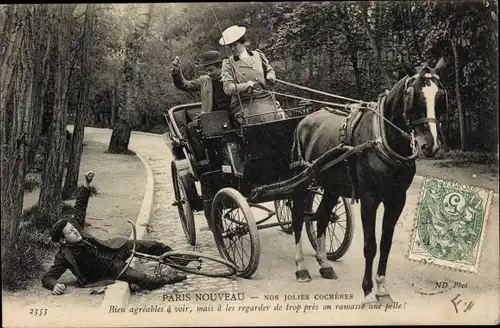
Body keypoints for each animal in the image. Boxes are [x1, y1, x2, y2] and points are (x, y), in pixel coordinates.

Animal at [290, 57, 450, 304]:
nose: (430, 145)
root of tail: (304, 120)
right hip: (303, 183)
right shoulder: (369, 200)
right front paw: (366, 290)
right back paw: (300, 267)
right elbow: (370, 246)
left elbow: (385, 244)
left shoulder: (397, 200)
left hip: (331, 187)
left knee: (322, 217)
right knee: (298, 217)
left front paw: (382, 289)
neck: (383, 139)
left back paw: (324, 264)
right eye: (414, 95)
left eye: (440, 96)